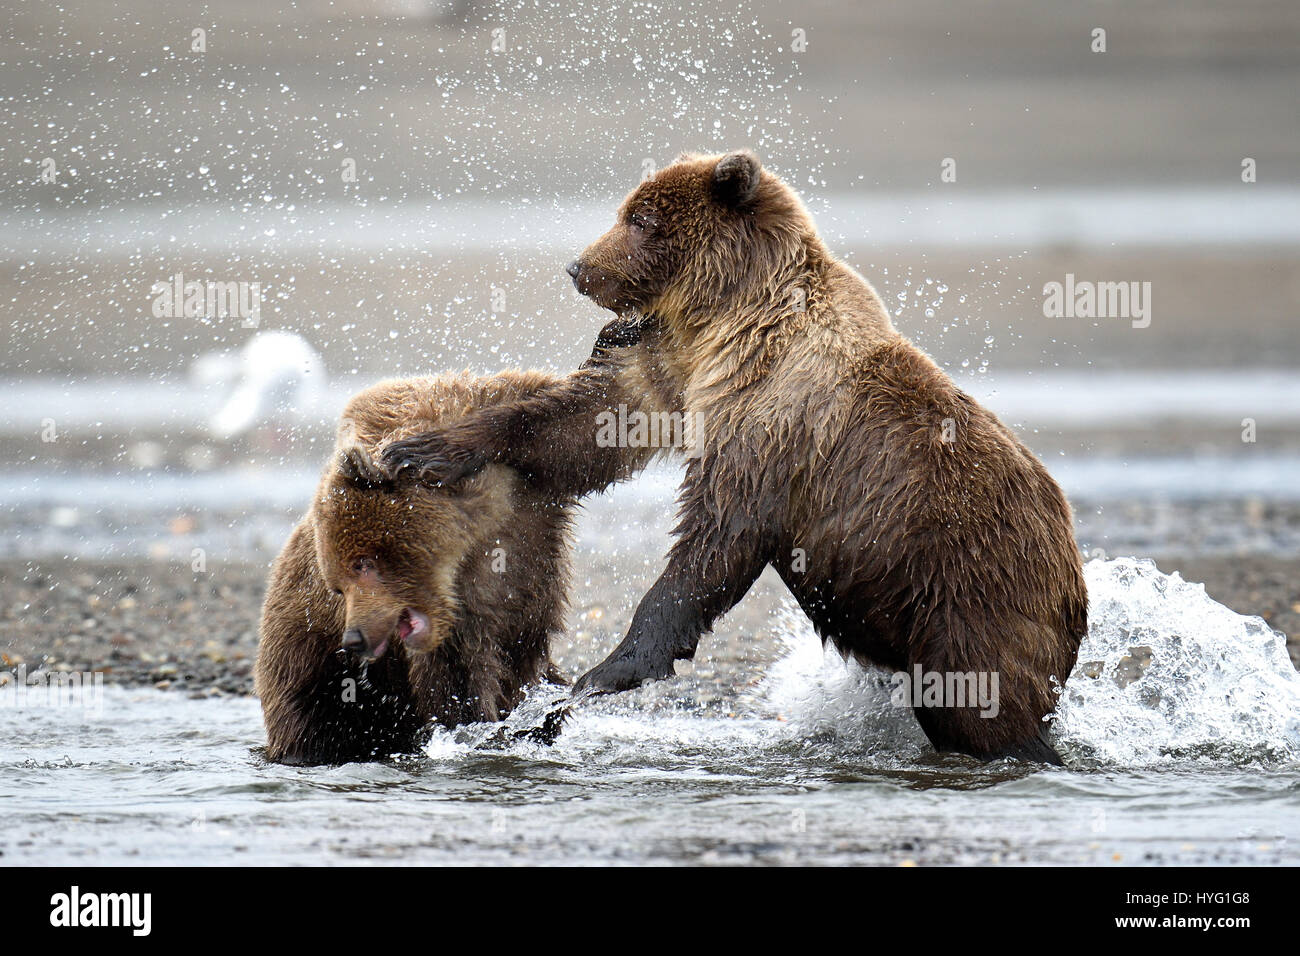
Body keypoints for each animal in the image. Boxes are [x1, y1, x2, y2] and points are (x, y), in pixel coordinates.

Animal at [254, 369, 585, 764]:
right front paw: (481, 732)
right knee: (313, 724)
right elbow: (457, 682)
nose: (353, 638)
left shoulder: (528, 518)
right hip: (311, 673)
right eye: (337, 586)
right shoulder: (456, 625)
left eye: (363, 564)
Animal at [382, 151, 1086, 764]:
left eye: (641, 220)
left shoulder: (769, 414)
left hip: (969, 591)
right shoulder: (679, 367)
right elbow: (590, 424)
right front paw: (419, 449)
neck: (729, 317)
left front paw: (607, 671)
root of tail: (1074, 567)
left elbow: (717, 533)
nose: (579, 268)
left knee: (978, 705)